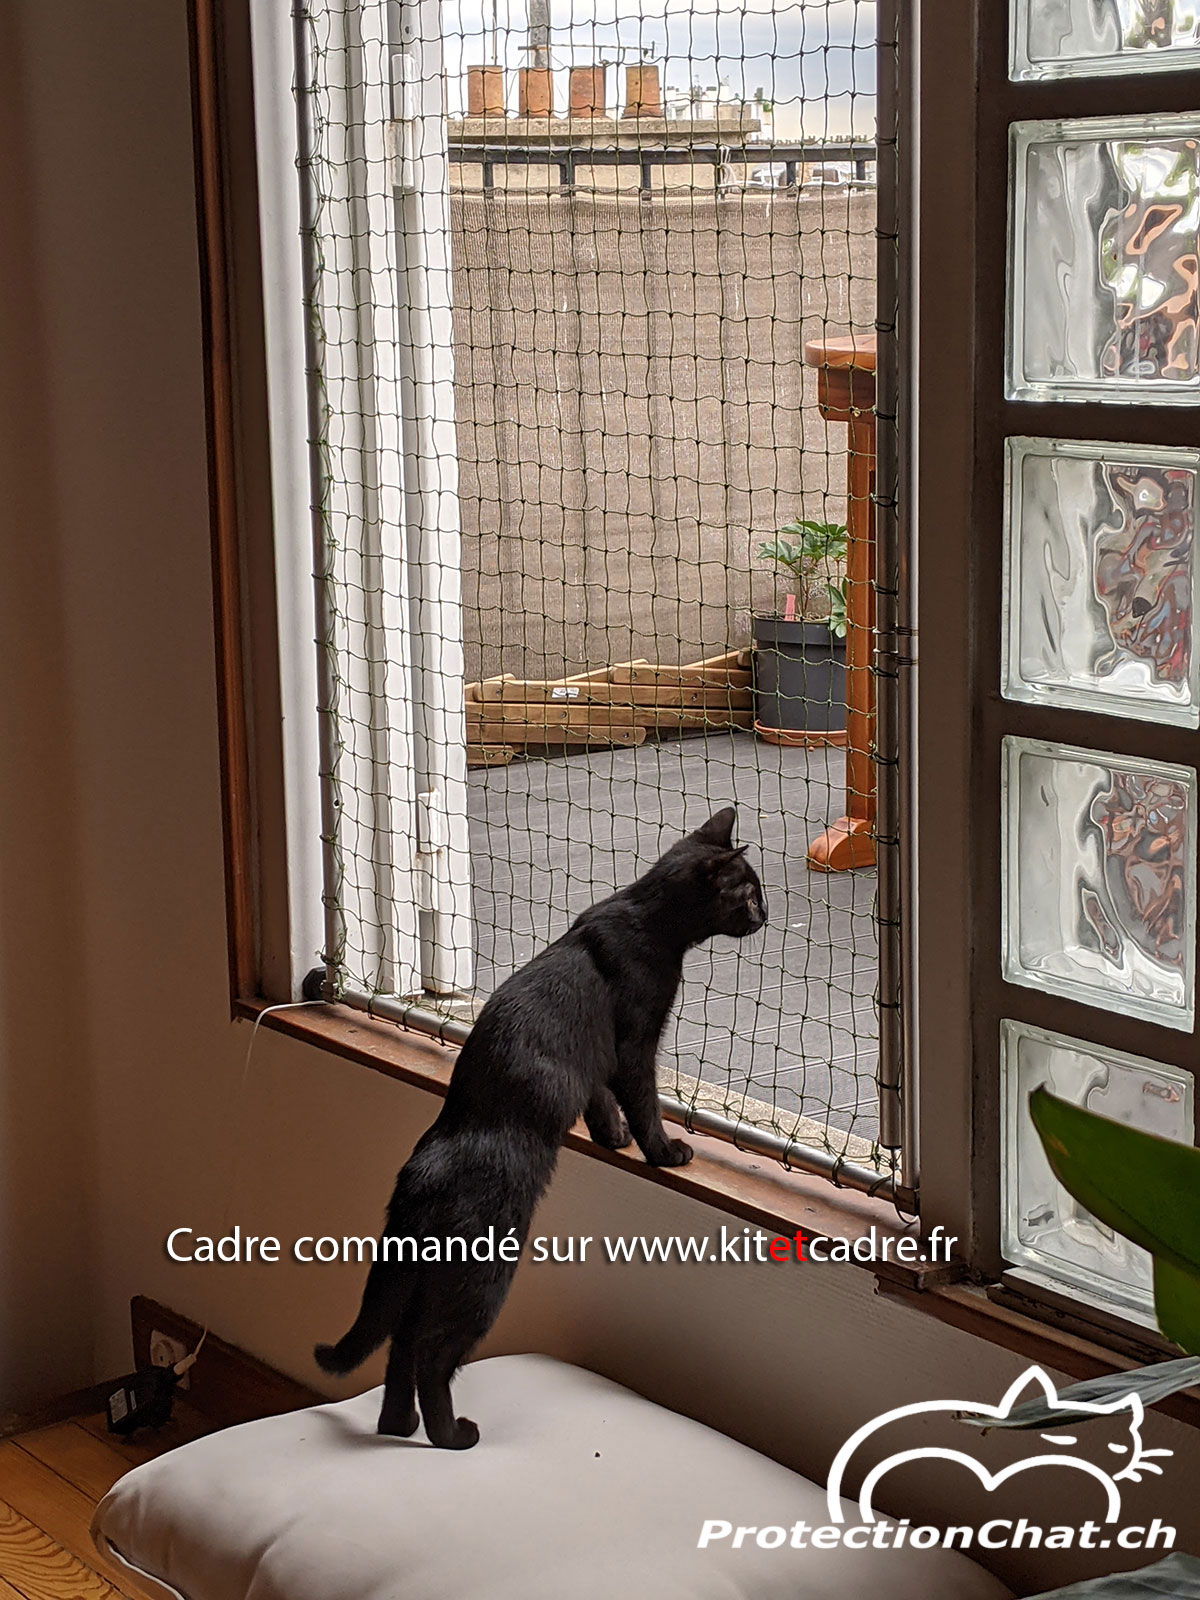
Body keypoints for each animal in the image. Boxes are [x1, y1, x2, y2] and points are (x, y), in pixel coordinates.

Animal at [316, 806, 771, 1446]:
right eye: (749, 892)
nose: (766, 913)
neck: (649, 921)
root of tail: (419, 1174)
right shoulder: (633, 1045)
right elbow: (644, 1104)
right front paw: (664, 1152)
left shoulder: (593, 1061)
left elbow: (600, 1101)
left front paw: (612, 1138)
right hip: (482, 1276)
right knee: (430, 1354)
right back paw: (452, 1435)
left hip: (426, 1278)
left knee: (400, 1348)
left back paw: (399, 1427)